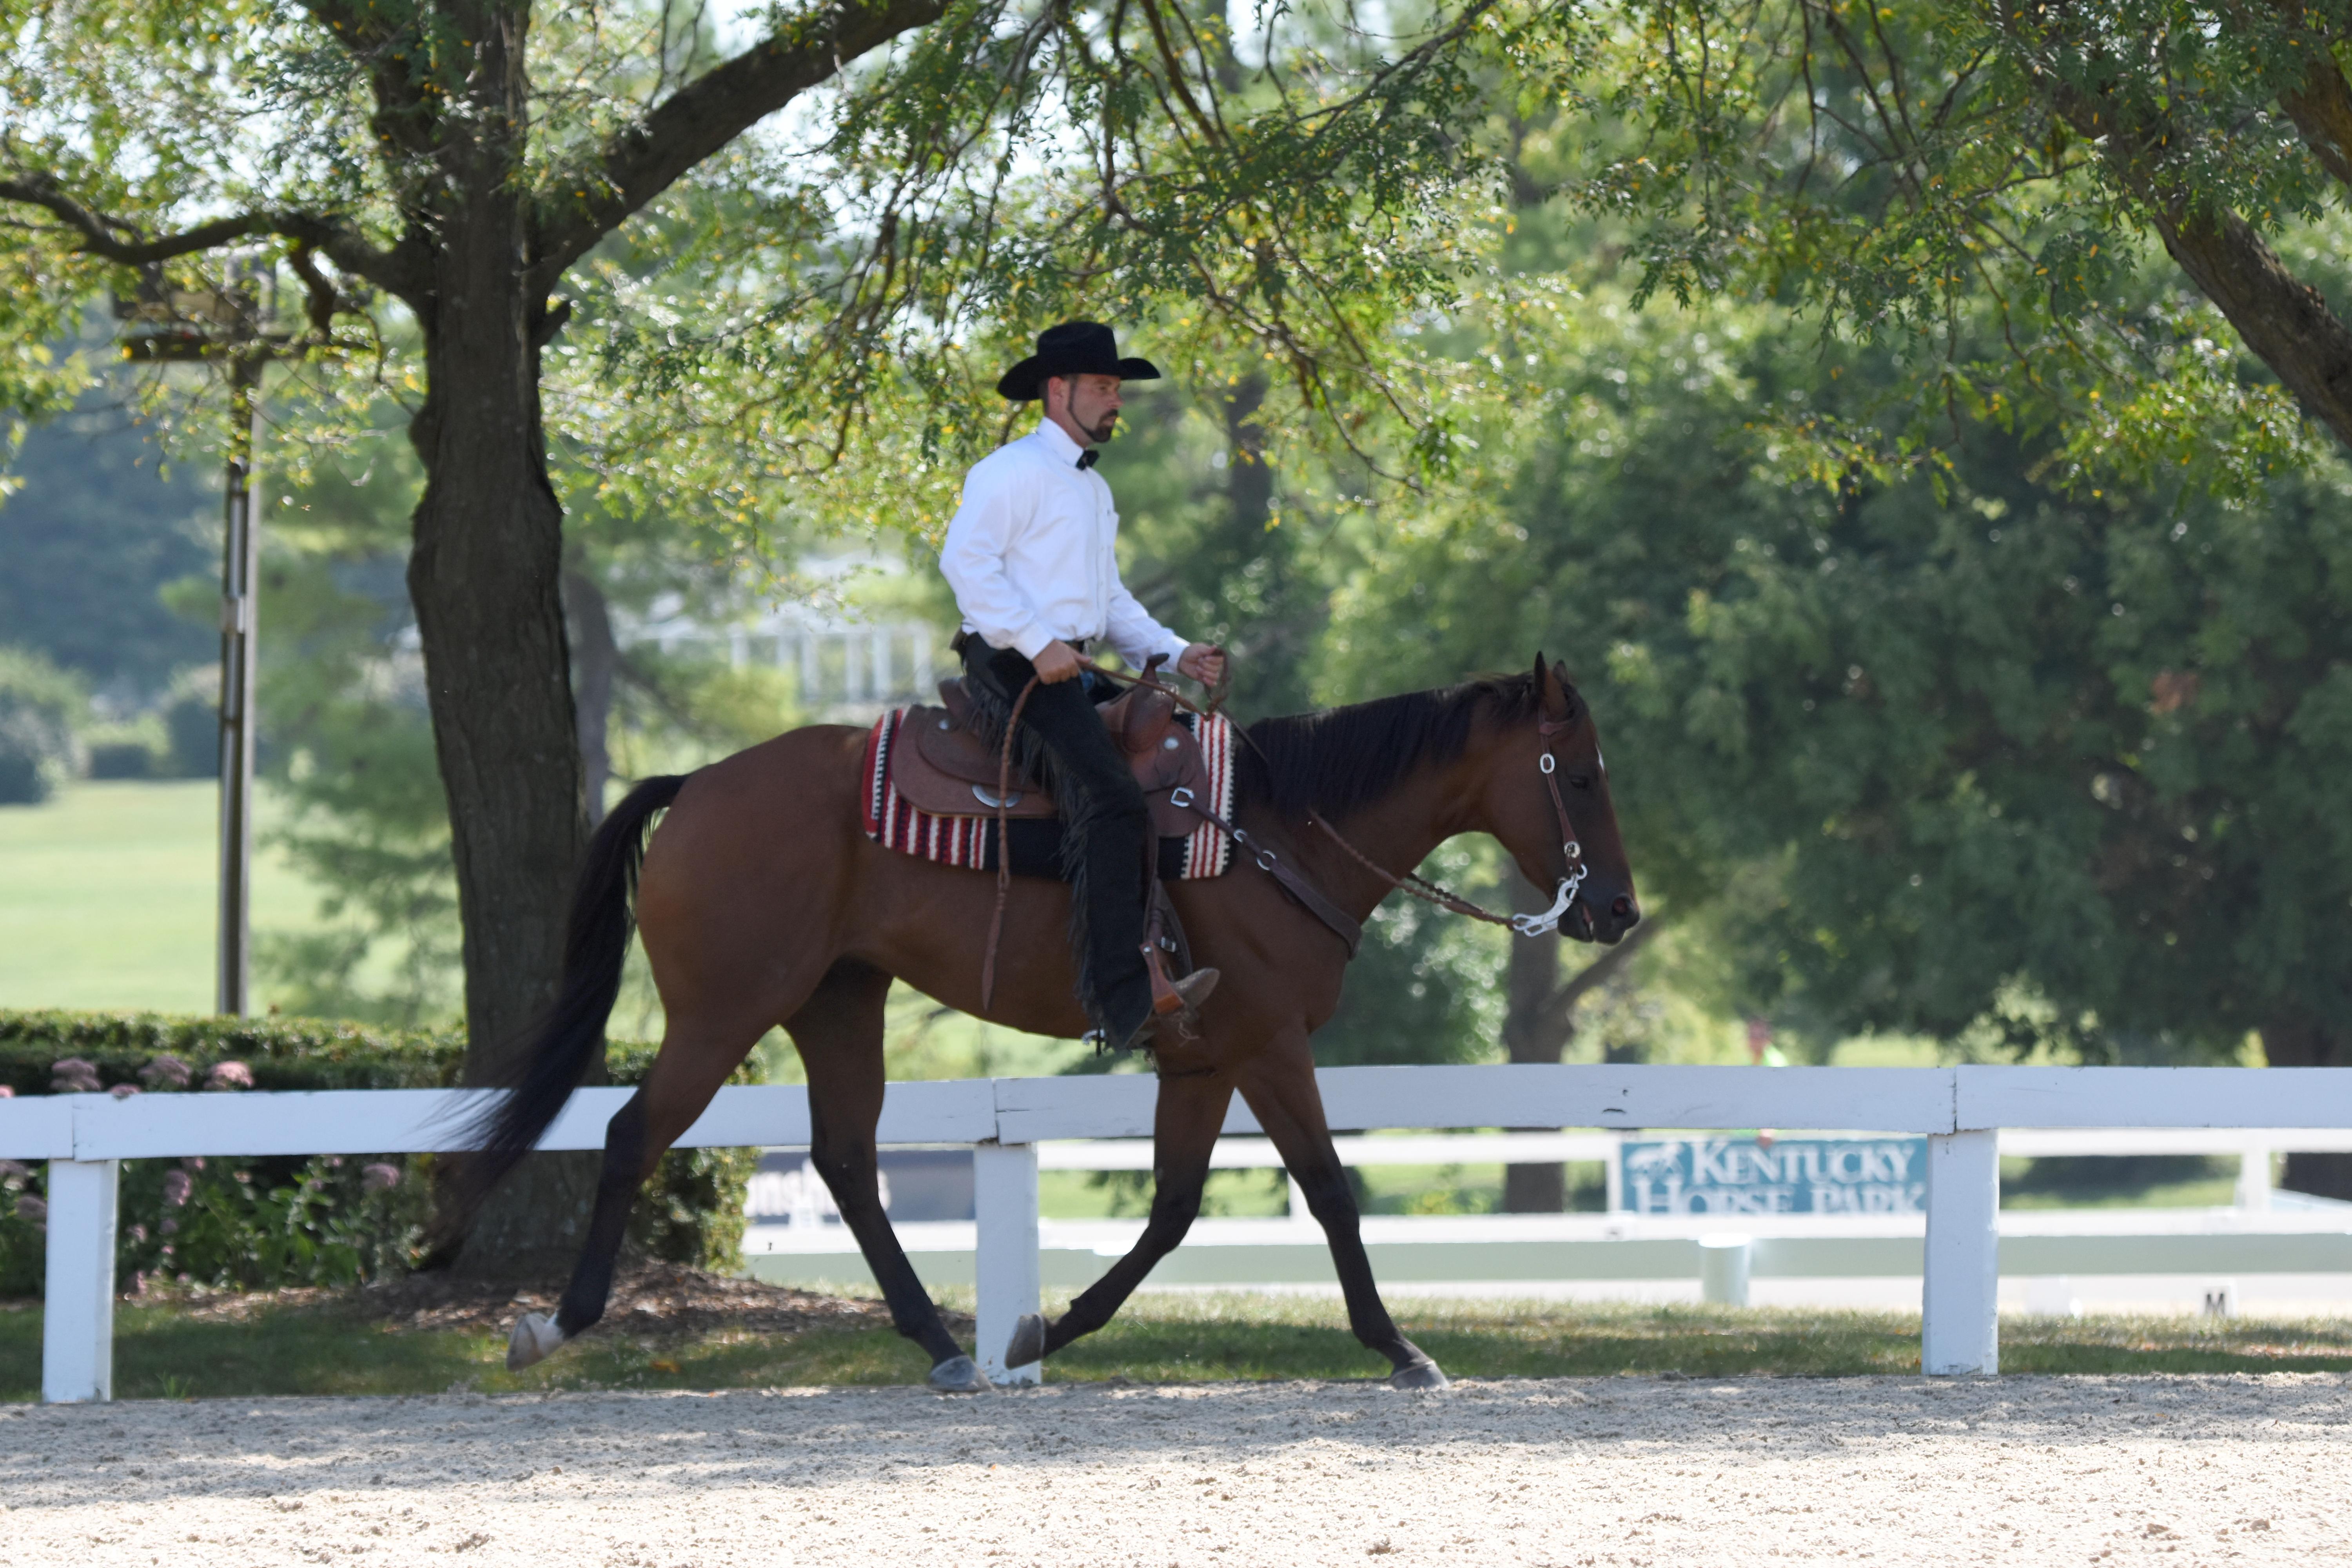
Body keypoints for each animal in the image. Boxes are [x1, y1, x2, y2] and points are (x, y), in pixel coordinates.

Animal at [459, 649, 1637, 1382]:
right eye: (1580, 775)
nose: (1619, 912)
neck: (1273, 829)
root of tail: (699, 781)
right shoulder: (1267, 1045)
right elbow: (1333, 1194)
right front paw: (1400, 1348)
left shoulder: (1203, 1059)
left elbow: (1173, 1209)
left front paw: (1046, 1333)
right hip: (725, 1010)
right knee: (633, 1132)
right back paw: (555, 1325)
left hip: (838, 1003)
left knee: (844, 1158)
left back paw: (942, 1341)